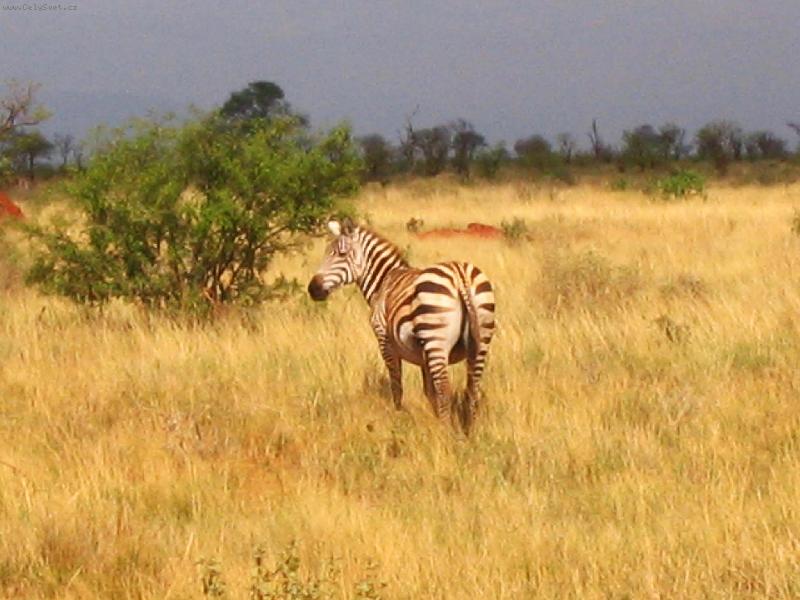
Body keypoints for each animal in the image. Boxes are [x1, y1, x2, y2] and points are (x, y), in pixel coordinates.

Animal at [307, 219, 496, 433]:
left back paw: (445, 432)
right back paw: (469, 432)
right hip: (481, 340)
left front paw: (397, 419)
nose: (312, 289)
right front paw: (432, 419)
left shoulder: (385, 342)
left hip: (436, 341)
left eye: (341, 254)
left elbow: (397, 384)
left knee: (445, 389)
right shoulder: (424, 356)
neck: (383, 281)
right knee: (472, 389)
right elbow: (428, 391)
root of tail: (460, 274)